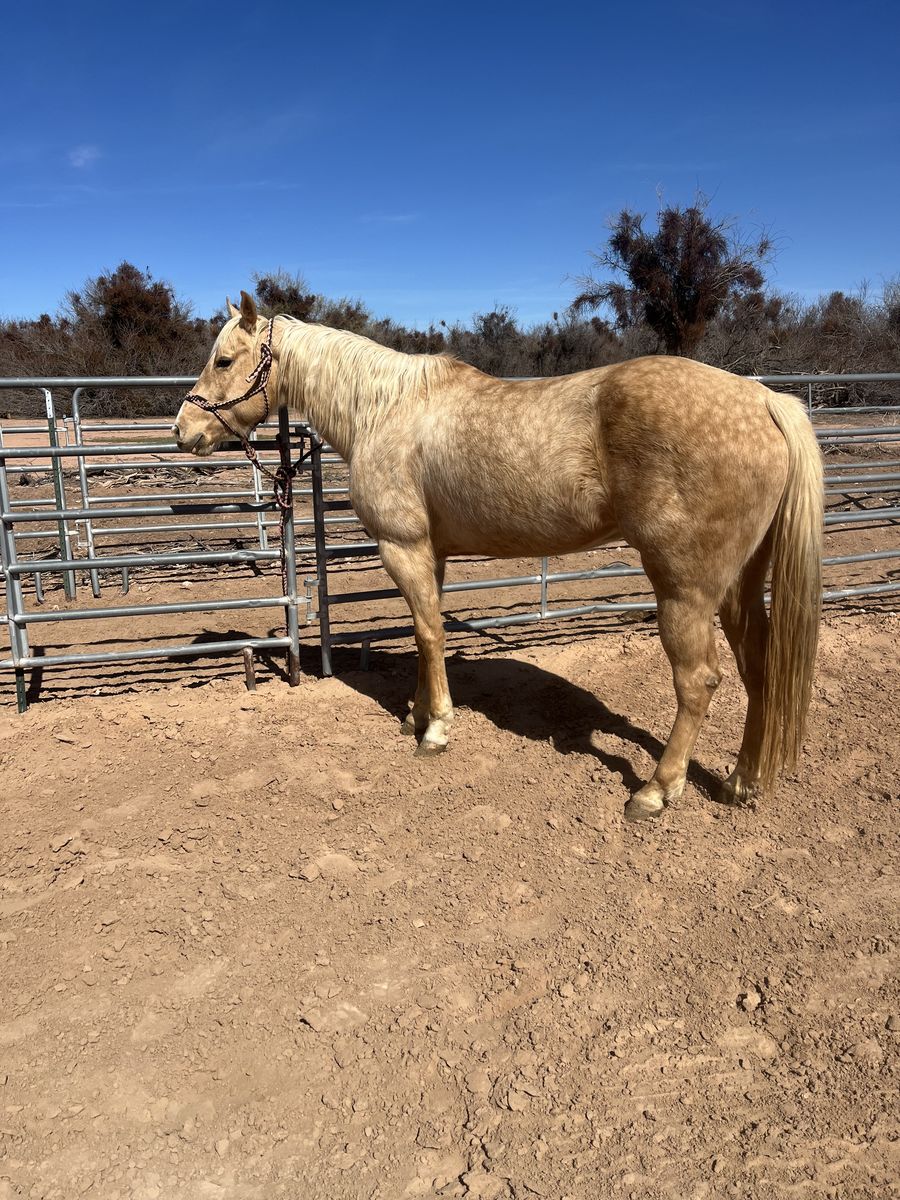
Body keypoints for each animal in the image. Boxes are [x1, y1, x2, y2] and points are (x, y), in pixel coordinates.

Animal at [173, 291, 823, 821]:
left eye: (224, 360)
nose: (184, 431)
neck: (384, 408)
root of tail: (763, 400)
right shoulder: (429, 553)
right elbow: (425, 633)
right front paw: (417, 713)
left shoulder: (403, 547)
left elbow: (430, 633)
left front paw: (435, 730)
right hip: (739, 584)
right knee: (758, 667)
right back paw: (740, 782)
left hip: (684, 590)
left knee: (698, 681)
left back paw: (656, 792)